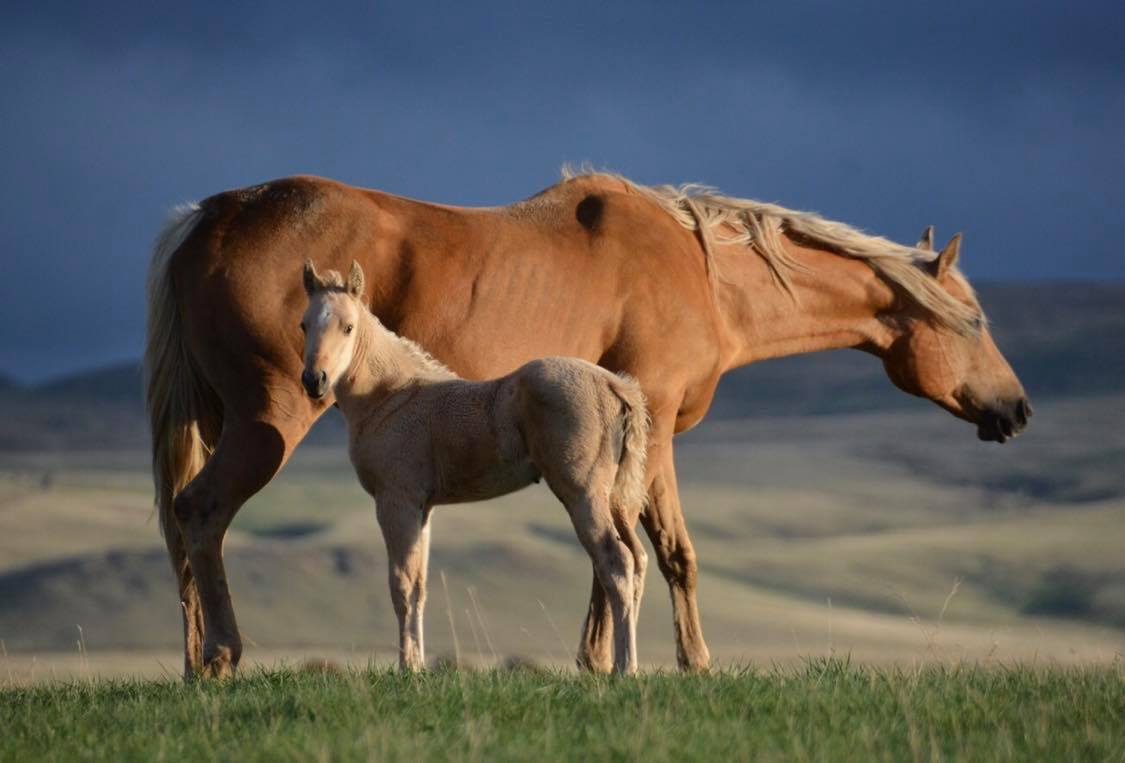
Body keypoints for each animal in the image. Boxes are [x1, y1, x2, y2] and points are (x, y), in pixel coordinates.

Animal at [299, 260, 650, 673]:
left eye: (348, 327)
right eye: (304, 324)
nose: (314, 380)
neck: (391, 396)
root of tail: (615, 386)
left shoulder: (396, 501)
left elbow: (401, 585)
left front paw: (406, 668)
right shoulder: (423, 508)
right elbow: (419, 587)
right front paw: (418, 666)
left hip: (583, 495)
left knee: (617, 563)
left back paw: (625, 669)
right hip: (618, 500)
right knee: (639, 560)